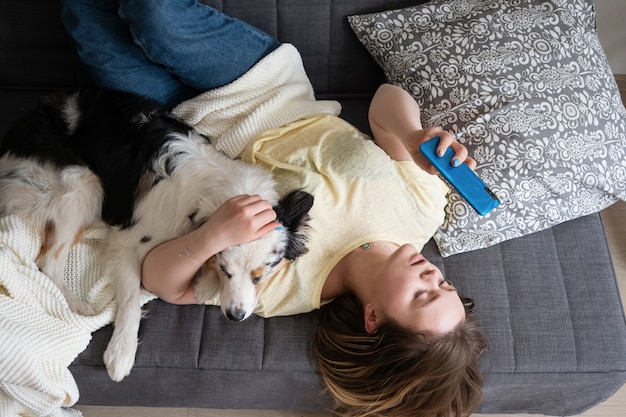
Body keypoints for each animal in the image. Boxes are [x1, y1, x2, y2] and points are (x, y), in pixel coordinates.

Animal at [0, 88, 312, 380]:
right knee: (48, 263)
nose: (235, 317)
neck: (212, 190)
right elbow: (130, 300)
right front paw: (120, 354)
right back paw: (79, 306)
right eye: (226, 270)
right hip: (84, 184)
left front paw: (203, 284)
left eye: (261, 275)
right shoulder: (127, 243)